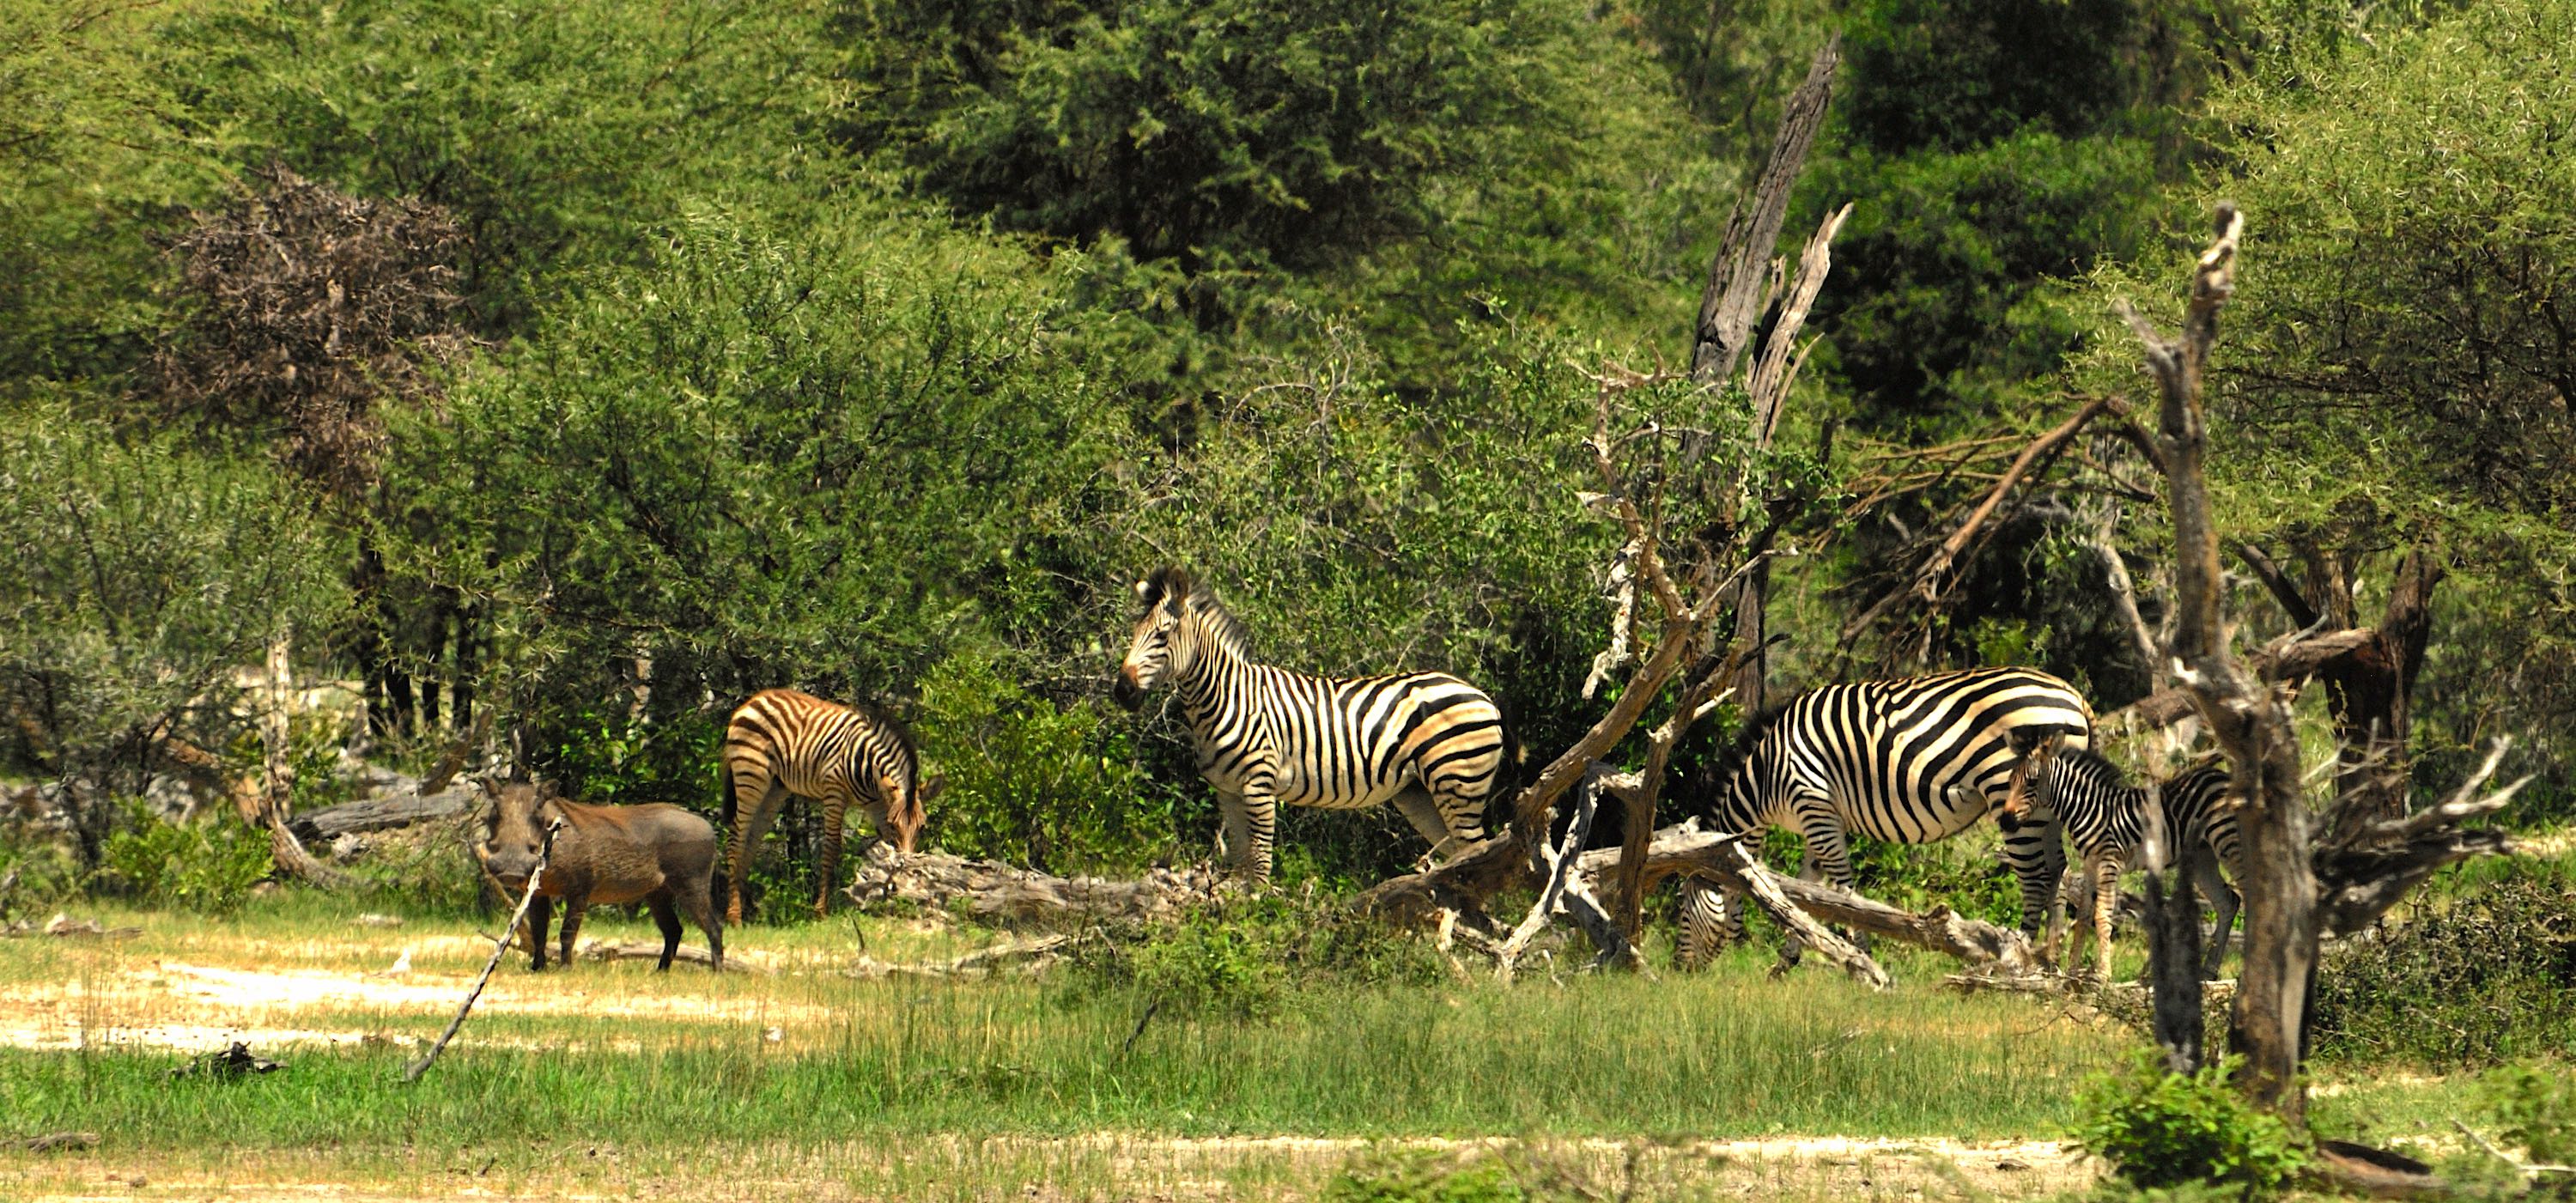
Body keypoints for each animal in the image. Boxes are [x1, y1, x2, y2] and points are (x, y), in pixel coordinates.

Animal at [719, 687, 938, 923]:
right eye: (896, 826)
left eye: (922, 828)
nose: (908, 875)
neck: (871, 775)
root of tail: (754, 699)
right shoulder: (835, 792)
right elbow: (832, 847)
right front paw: (821, 910)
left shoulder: (879, 806)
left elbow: (890, 849)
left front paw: (891, 892)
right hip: (750, 774)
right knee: (736, 836)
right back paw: (734, 915)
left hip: (775, 788)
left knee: (752, 839)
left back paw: (748, 908)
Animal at [1112, 566, 1509, 884]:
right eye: (1134, 632)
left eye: (1162, 636)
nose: (1122, 691)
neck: (1225, 698)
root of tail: (1483, 696)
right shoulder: (1227, 792)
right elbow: (1240, 864)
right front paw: (1233, 919)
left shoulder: (1259, 785)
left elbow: (1259, 865)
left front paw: (1258, 918)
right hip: (1418, 793)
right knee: (1460, 852)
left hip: (1458, 781)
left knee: (1478, 850)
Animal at [1674, 667, 2094, 969]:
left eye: (1683, 911)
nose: (1678, 971)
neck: (1766, 775)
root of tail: (2072, 694)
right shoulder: (1818, 817)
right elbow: (1809, 892)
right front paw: (1786, 962)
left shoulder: (1815, 806)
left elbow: (1842, 892)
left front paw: (1861, 958)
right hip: (2047, 808)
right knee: (2058, 871)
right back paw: (2050, 964)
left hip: (2014, 797)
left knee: (2035, 877)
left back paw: (2017, 962)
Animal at [2031, 749, 2241, 980]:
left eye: (2029, 782)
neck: (2090, 809)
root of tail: (2224, 777)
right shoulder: (2091, 864)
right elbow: (2085, 912)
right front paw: (2073, 970)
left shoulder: (2108, 862)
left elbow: (2102, 913)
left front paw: (2101, 974)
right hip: (2203, 859)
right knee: (2229, 902)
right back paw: (2209, 972)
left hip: (2228, 842)